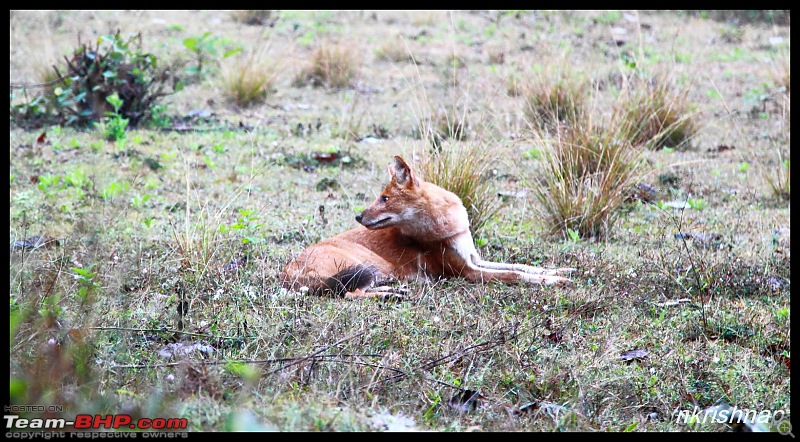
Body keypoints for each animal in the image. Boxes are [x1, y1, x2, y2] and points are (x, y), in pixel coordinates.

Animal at [278, 156, 572, 300]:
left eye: (385, 198)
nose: (358, 216)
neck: (447, 225)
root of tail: (286, 272)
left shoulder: (475, 258)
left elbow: (520, 266)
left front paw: (558, 271)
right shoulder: (467, 271)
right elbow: (515, 275)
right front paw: (554, 281)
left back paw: (393, 293)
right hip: (364, 265)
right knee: (349, 294)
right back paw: (388, 296)